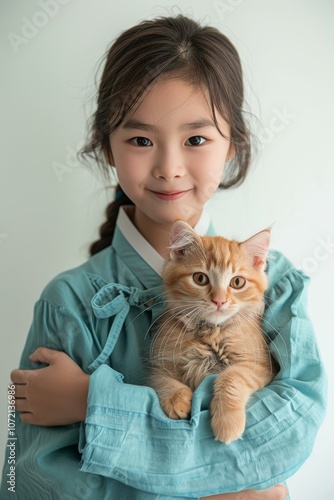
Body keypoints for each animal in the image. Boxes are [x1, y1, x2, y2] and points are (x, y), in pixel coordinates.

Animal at [150, 221, 278, 444]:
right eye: (200, 278)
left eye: (237, 282)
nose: (219, 301)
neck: (211, 333)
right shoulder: (160, 363)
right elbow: (160, 380)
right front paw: (176, 399)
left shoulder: (262, 366)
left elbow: (231, 377)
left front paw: (227, 424)